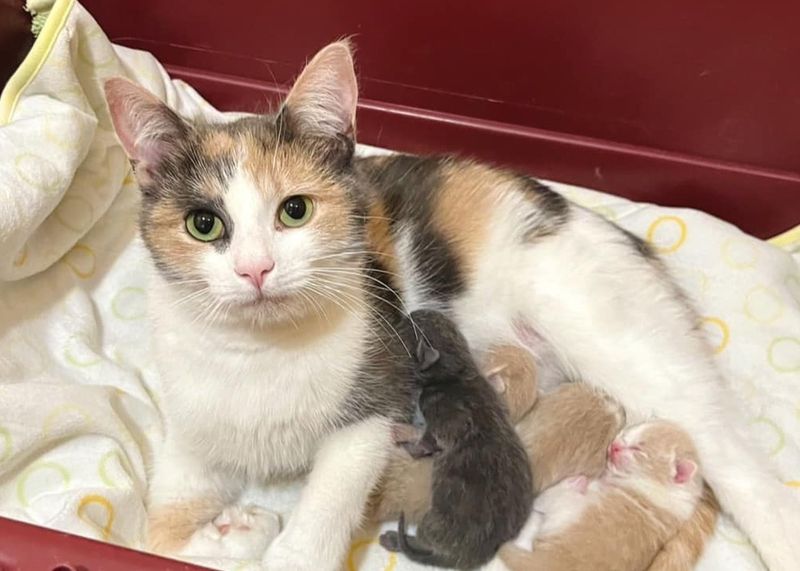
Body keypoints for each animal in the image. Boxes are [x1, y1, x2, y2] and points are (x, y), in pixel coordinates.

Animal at [380, 310, 536, 568]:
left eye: (408, 325)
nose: (407, 313)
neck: (459, 369)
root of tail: (475, 556)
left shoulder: (446, 423)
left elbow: (425, 442)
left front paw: (402, 435)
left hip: (432, 523)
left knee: (421, 542)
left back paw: (392, 538)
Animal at [500, 420, 708, 571]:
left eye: (638, 449)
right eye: (627, 432)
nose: (614, 445)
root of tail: (552, 561)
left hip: (566, 508)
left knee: (544, 501)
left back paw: (574, 482)